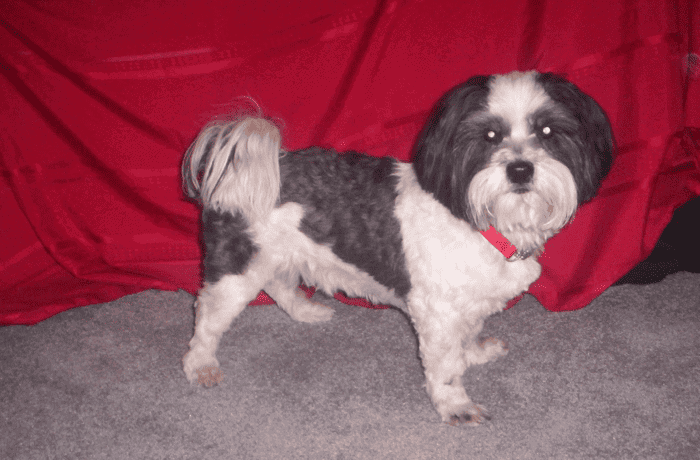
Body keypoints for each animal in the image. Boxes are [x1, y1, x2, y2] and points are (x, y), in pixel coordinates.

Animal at [180, 70, 612, 426]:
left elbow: (468, 333)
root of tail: (241, 173)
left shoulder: (470, 301)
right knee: (209, 314)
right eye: (490, 136)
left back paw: (305, 310)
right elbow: (445, 365)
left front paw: (474, 352)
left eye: (549, 132)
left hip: (279, 252)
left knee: (278, 283)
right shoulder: (436, 312)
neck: (483, 223)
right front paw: (456, 404)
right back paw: (201, 363)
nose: (520, 169)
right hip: (236, 267)